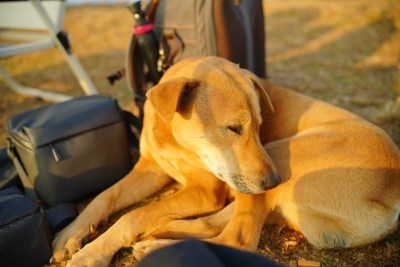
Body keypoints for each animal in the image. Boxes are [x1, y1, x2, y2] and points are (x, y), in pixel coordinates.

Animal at [53, 56, 400, 266]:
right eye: (234, 128)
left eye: (260, 125)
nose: (274, 181)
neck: (173, 137)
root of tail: (391, 193)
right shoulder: (150, 170)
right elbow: (105, 196)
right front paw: (72, 232)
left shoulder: (205, 191)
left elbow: (133, 215)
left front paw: (94, 252)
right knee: (216, 223)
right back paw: (160, 235)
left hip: (279, 154)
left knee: (238, 238)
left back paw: (158, 246)